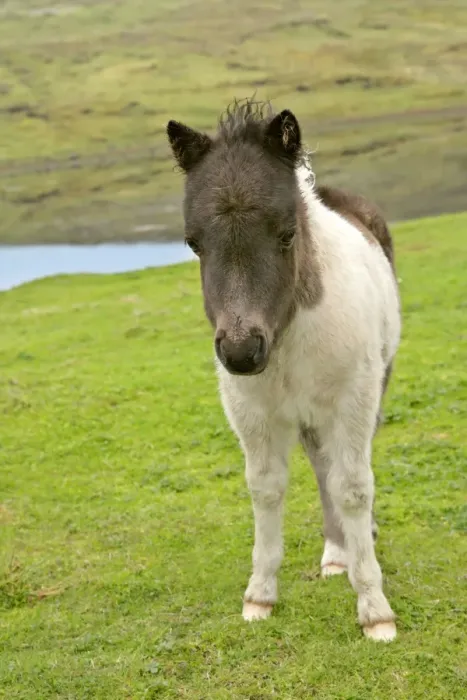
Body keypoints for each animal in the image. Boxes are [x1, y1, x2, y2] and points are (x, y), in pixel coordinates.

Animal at [167, 99, 401, 641]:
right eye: (193, 243)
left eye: (287, 234)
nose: (241, 353)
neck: (287, 335)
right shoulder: (251, 412)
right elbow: (267, 487)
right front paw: (260, 597)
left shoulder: (353, 400)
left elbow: (353, 487)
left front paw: (375, 611)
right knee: (320, 465)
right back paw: (336, 554)